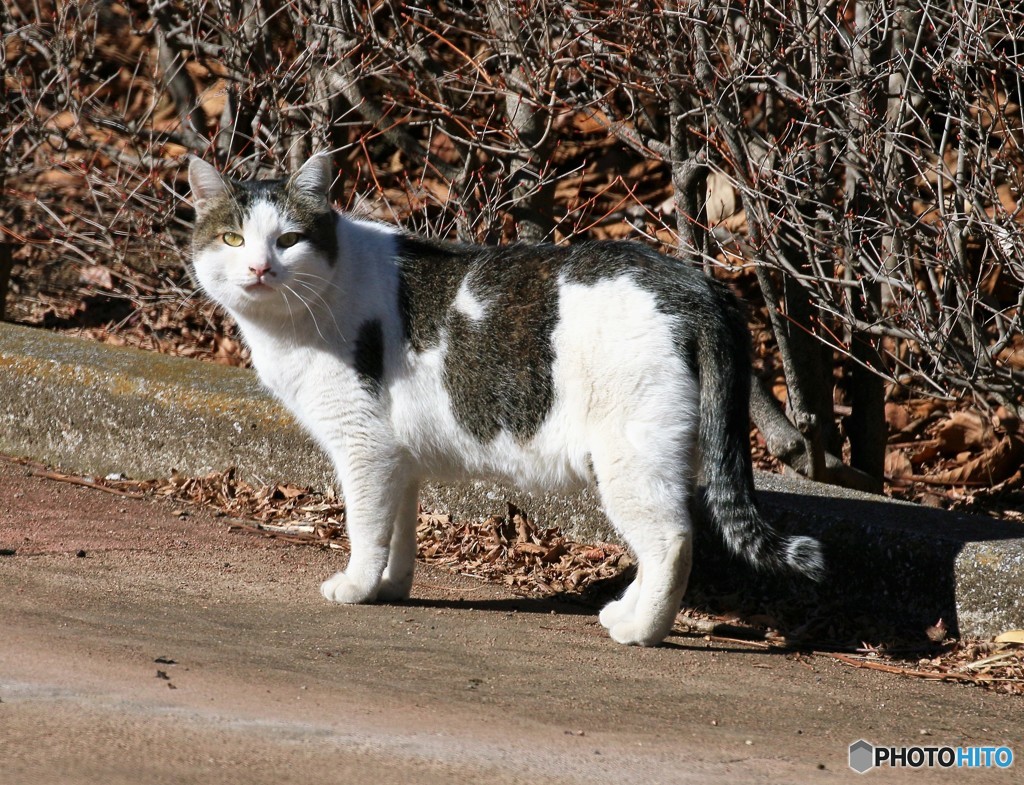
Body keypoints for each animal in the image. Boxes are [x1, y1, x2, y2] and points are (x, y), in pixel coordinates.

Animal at [186, 155, 823, 650]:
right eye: (233, 239)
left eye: (288, 240)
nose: (259, 268)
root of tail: (698, 285)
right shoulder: (397, 459)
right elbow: (398, 531)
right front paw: (391, 588)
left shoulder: (363, 447)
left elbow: (365, 526)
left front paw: (357, 588)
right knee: (665, 539)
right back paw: (623, 610)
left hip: (629, 457)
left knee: (672, 542)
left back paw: (641, 631)